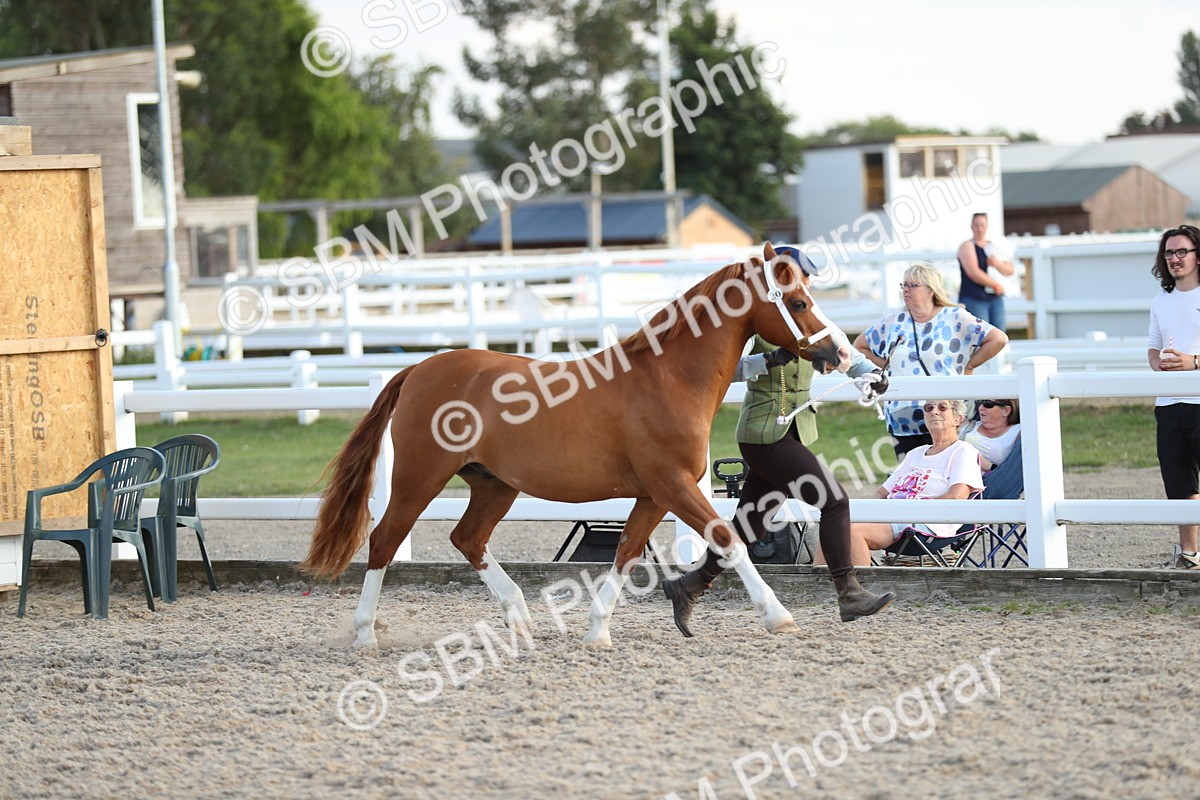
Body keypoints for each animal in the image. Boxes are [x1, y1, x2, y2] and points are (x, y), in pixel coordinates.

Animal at [301, 242, 853, 647]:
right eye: (798, 302)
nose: (841, 353)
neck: (667, 378)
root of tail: (418, 369)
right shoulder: (673, 487)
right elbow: (730, 542)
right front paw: (777, 616)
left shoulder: (653, 494)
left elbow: (626, 553)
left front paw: (597, 630)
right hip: (420, 478)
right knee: (384, 541)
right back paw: (366, 635)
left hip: (493, 485)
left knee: (468, 539)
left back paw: (520, 619)